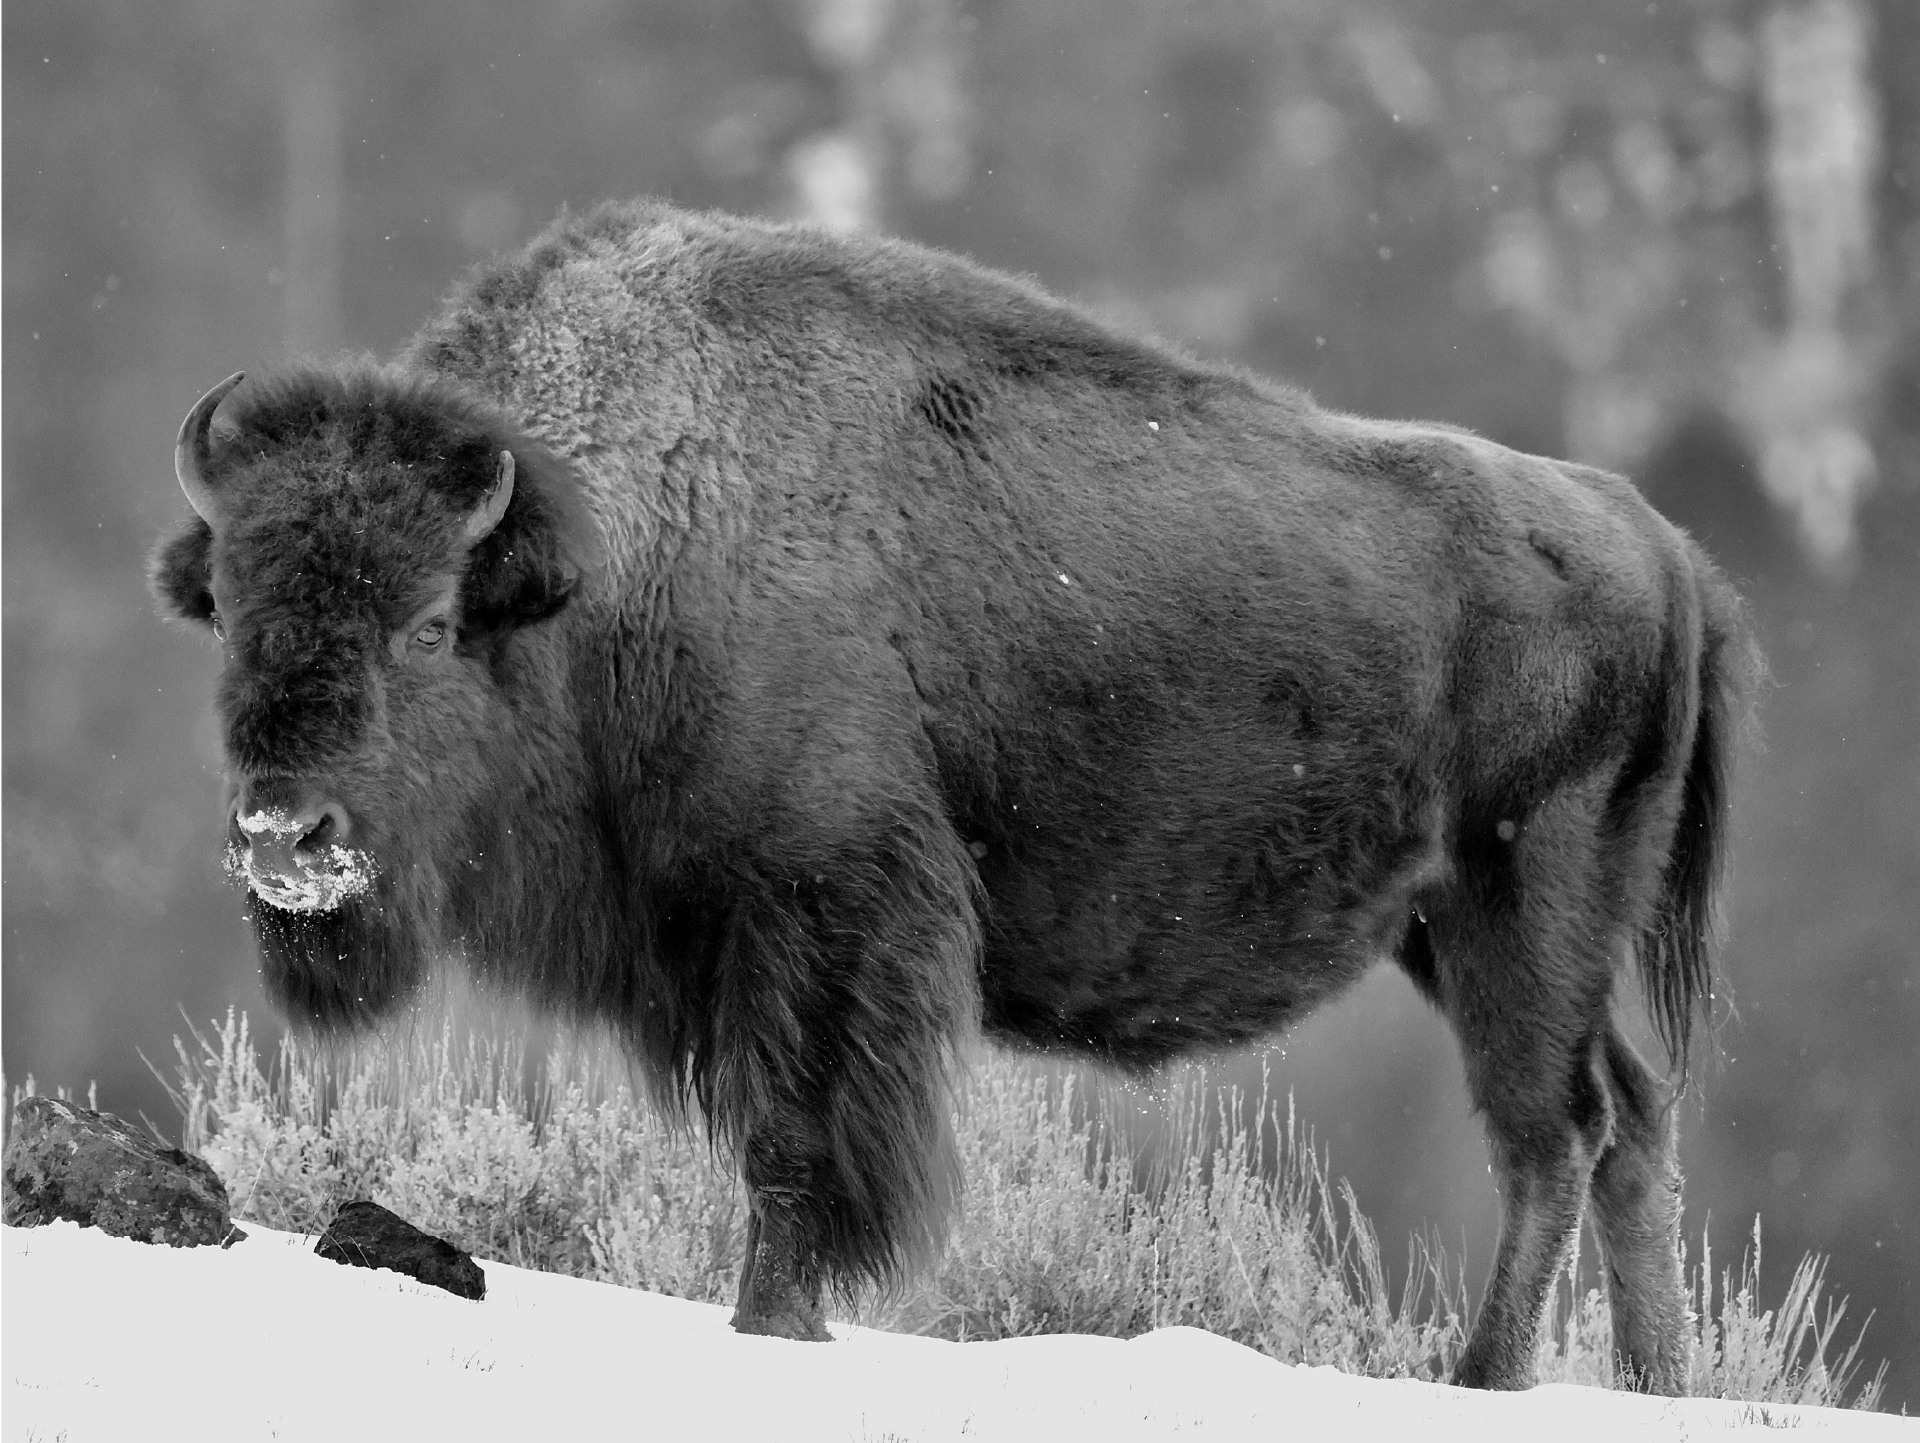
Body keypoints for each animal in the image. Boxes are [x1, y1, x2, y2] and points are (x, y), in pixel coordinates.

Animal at [152, 199, 1754, 1391]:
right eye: (228, 609)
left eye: (429, 623)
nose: (286, 836)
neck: (616, 552)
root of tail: (1661, 545)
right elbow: (774, 1145)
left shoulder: (822, 911)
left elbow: (795, 1150)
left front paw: (777, 1329)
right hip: (1469, 927)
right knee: (1636, 1119)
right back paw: (1655, 1384)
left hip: (1520, 904)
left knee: (1556, 1131)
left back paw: (1482, 1375)